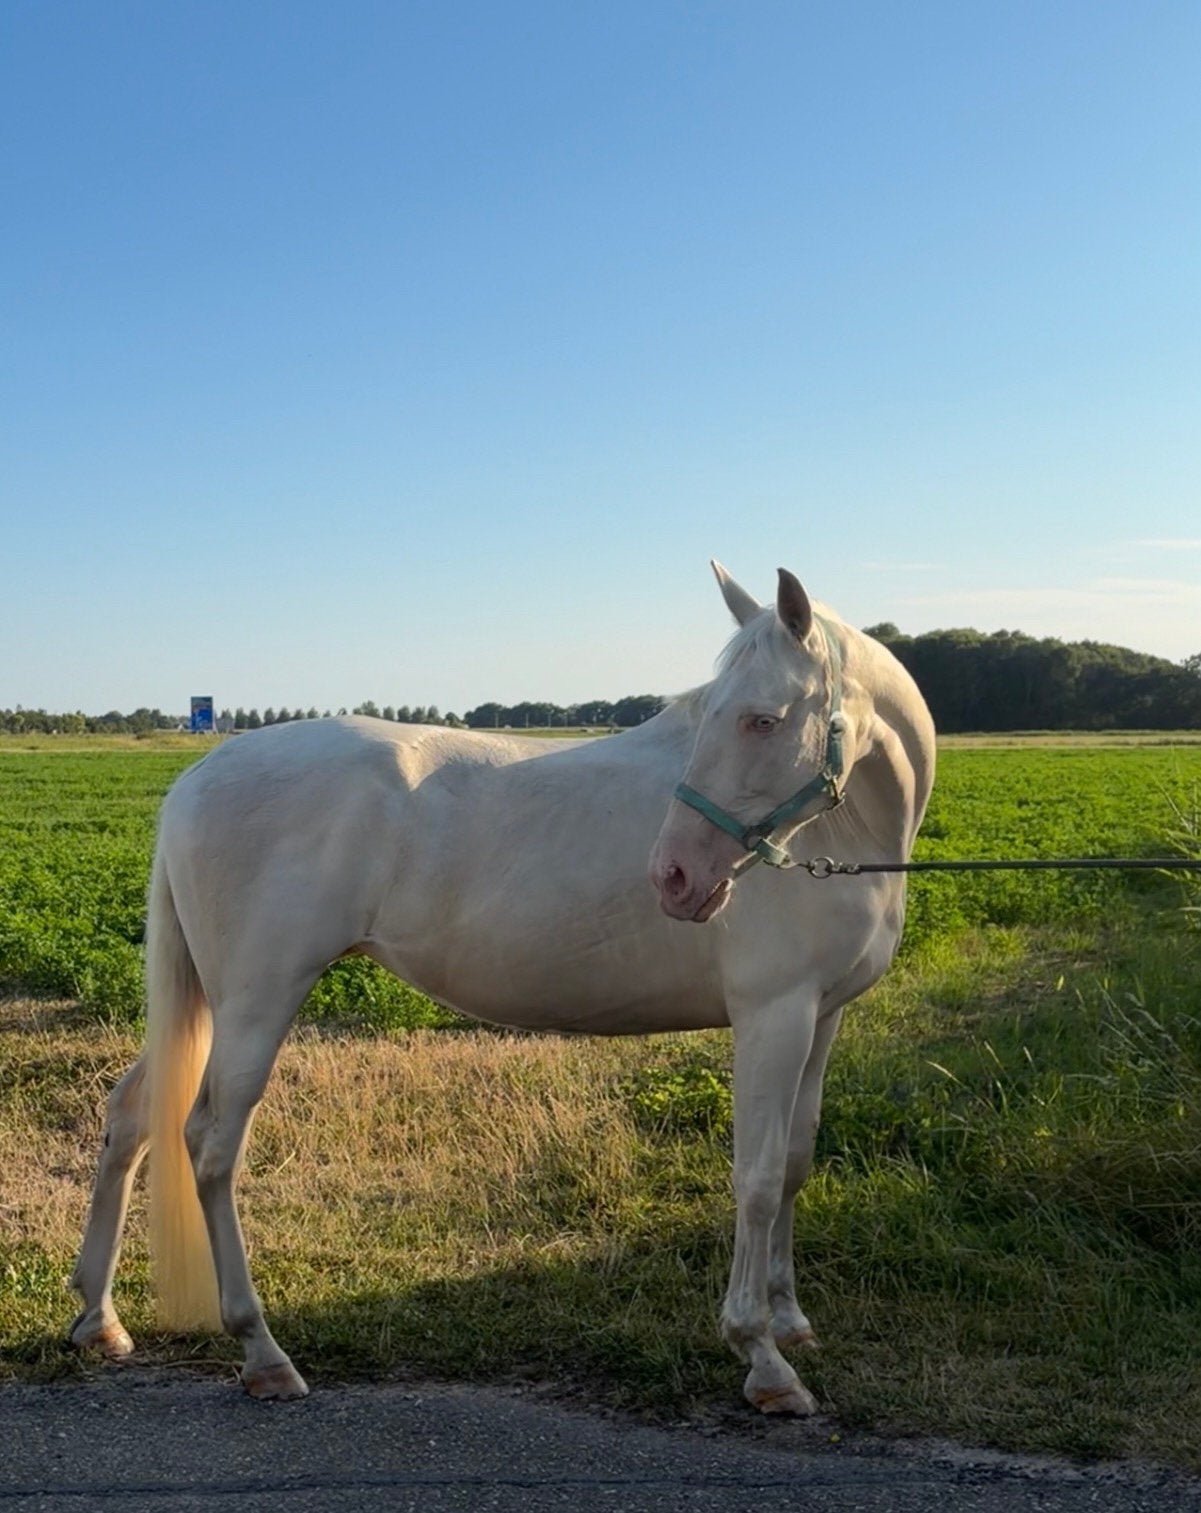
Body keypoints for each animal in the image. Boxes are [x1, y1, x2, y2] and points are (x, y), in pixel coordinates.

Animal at [70, 563, 935, 1415]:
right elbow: (753, 1179)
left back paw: (98, 1318)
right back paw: (261, 1350)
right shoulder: (770, 1013)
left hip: (213, 1002)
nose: (675, 876)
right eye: (717, 713)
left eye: (759, 719)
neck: (841, 834)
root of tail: (197, 776)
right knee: (212, 1144)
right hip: (256, 998)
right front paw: (761, 1357)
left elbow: (791, 1160)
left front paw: (790, 1321)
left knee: (133, 1113)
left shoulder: (820, 1015)